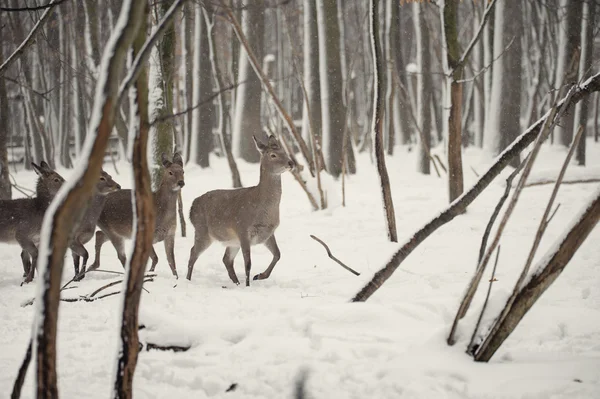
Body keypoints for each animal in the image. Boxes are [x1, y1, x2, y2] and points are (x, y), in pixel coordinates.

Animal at [185, 135, 292, 288]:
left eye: (284, 151)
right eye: (273, 155)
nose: (291, 163)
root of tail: (191, 208)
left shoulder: (267, 233)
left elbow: (278, 254)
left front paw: (259, 276)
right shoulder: (243, 229)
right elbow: (248, 263)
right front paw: (248, 285)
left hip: (231, 241)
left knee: (226, 259)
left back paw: (236, 282)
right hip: (202, 231)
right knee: (193, 252)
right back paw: (187, 279)